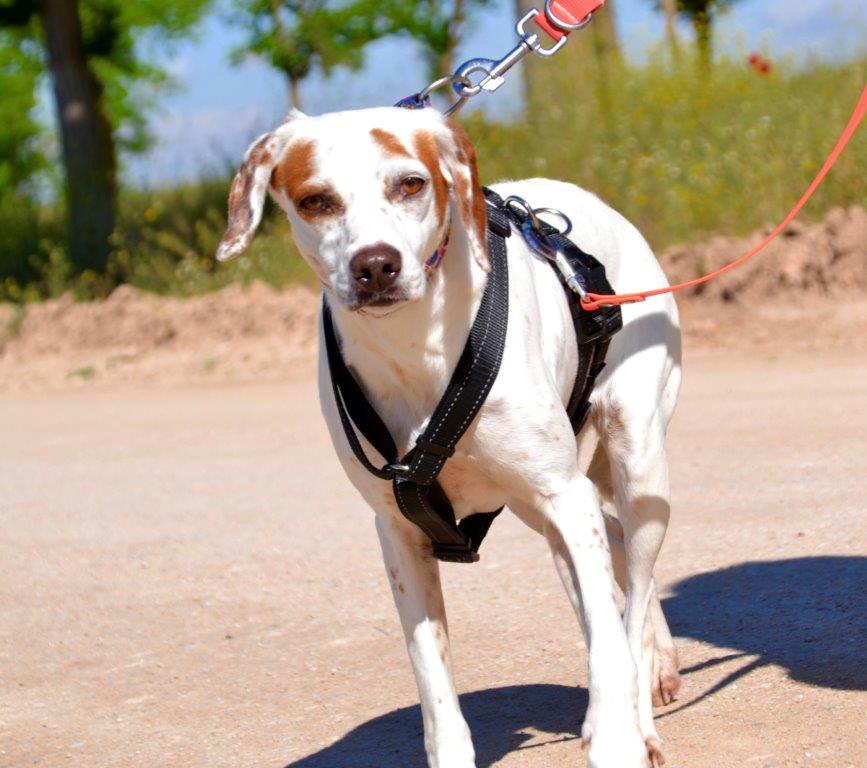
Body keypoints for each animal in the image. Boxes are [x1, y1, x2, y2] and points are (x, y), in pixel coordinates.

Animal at [217, 103, 684, 768]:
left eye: (410, 184)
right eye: (316, 201)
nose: (375, 265)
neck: (415, 348)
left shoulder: (564, 494)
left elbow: (610, 644)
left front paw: (618, 733)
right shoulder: (399, 533)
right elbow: (435, 688)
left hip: (634, 461)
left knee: (634, 588)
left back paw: (642, 708)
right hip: (544, 507)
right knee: (611, 555)